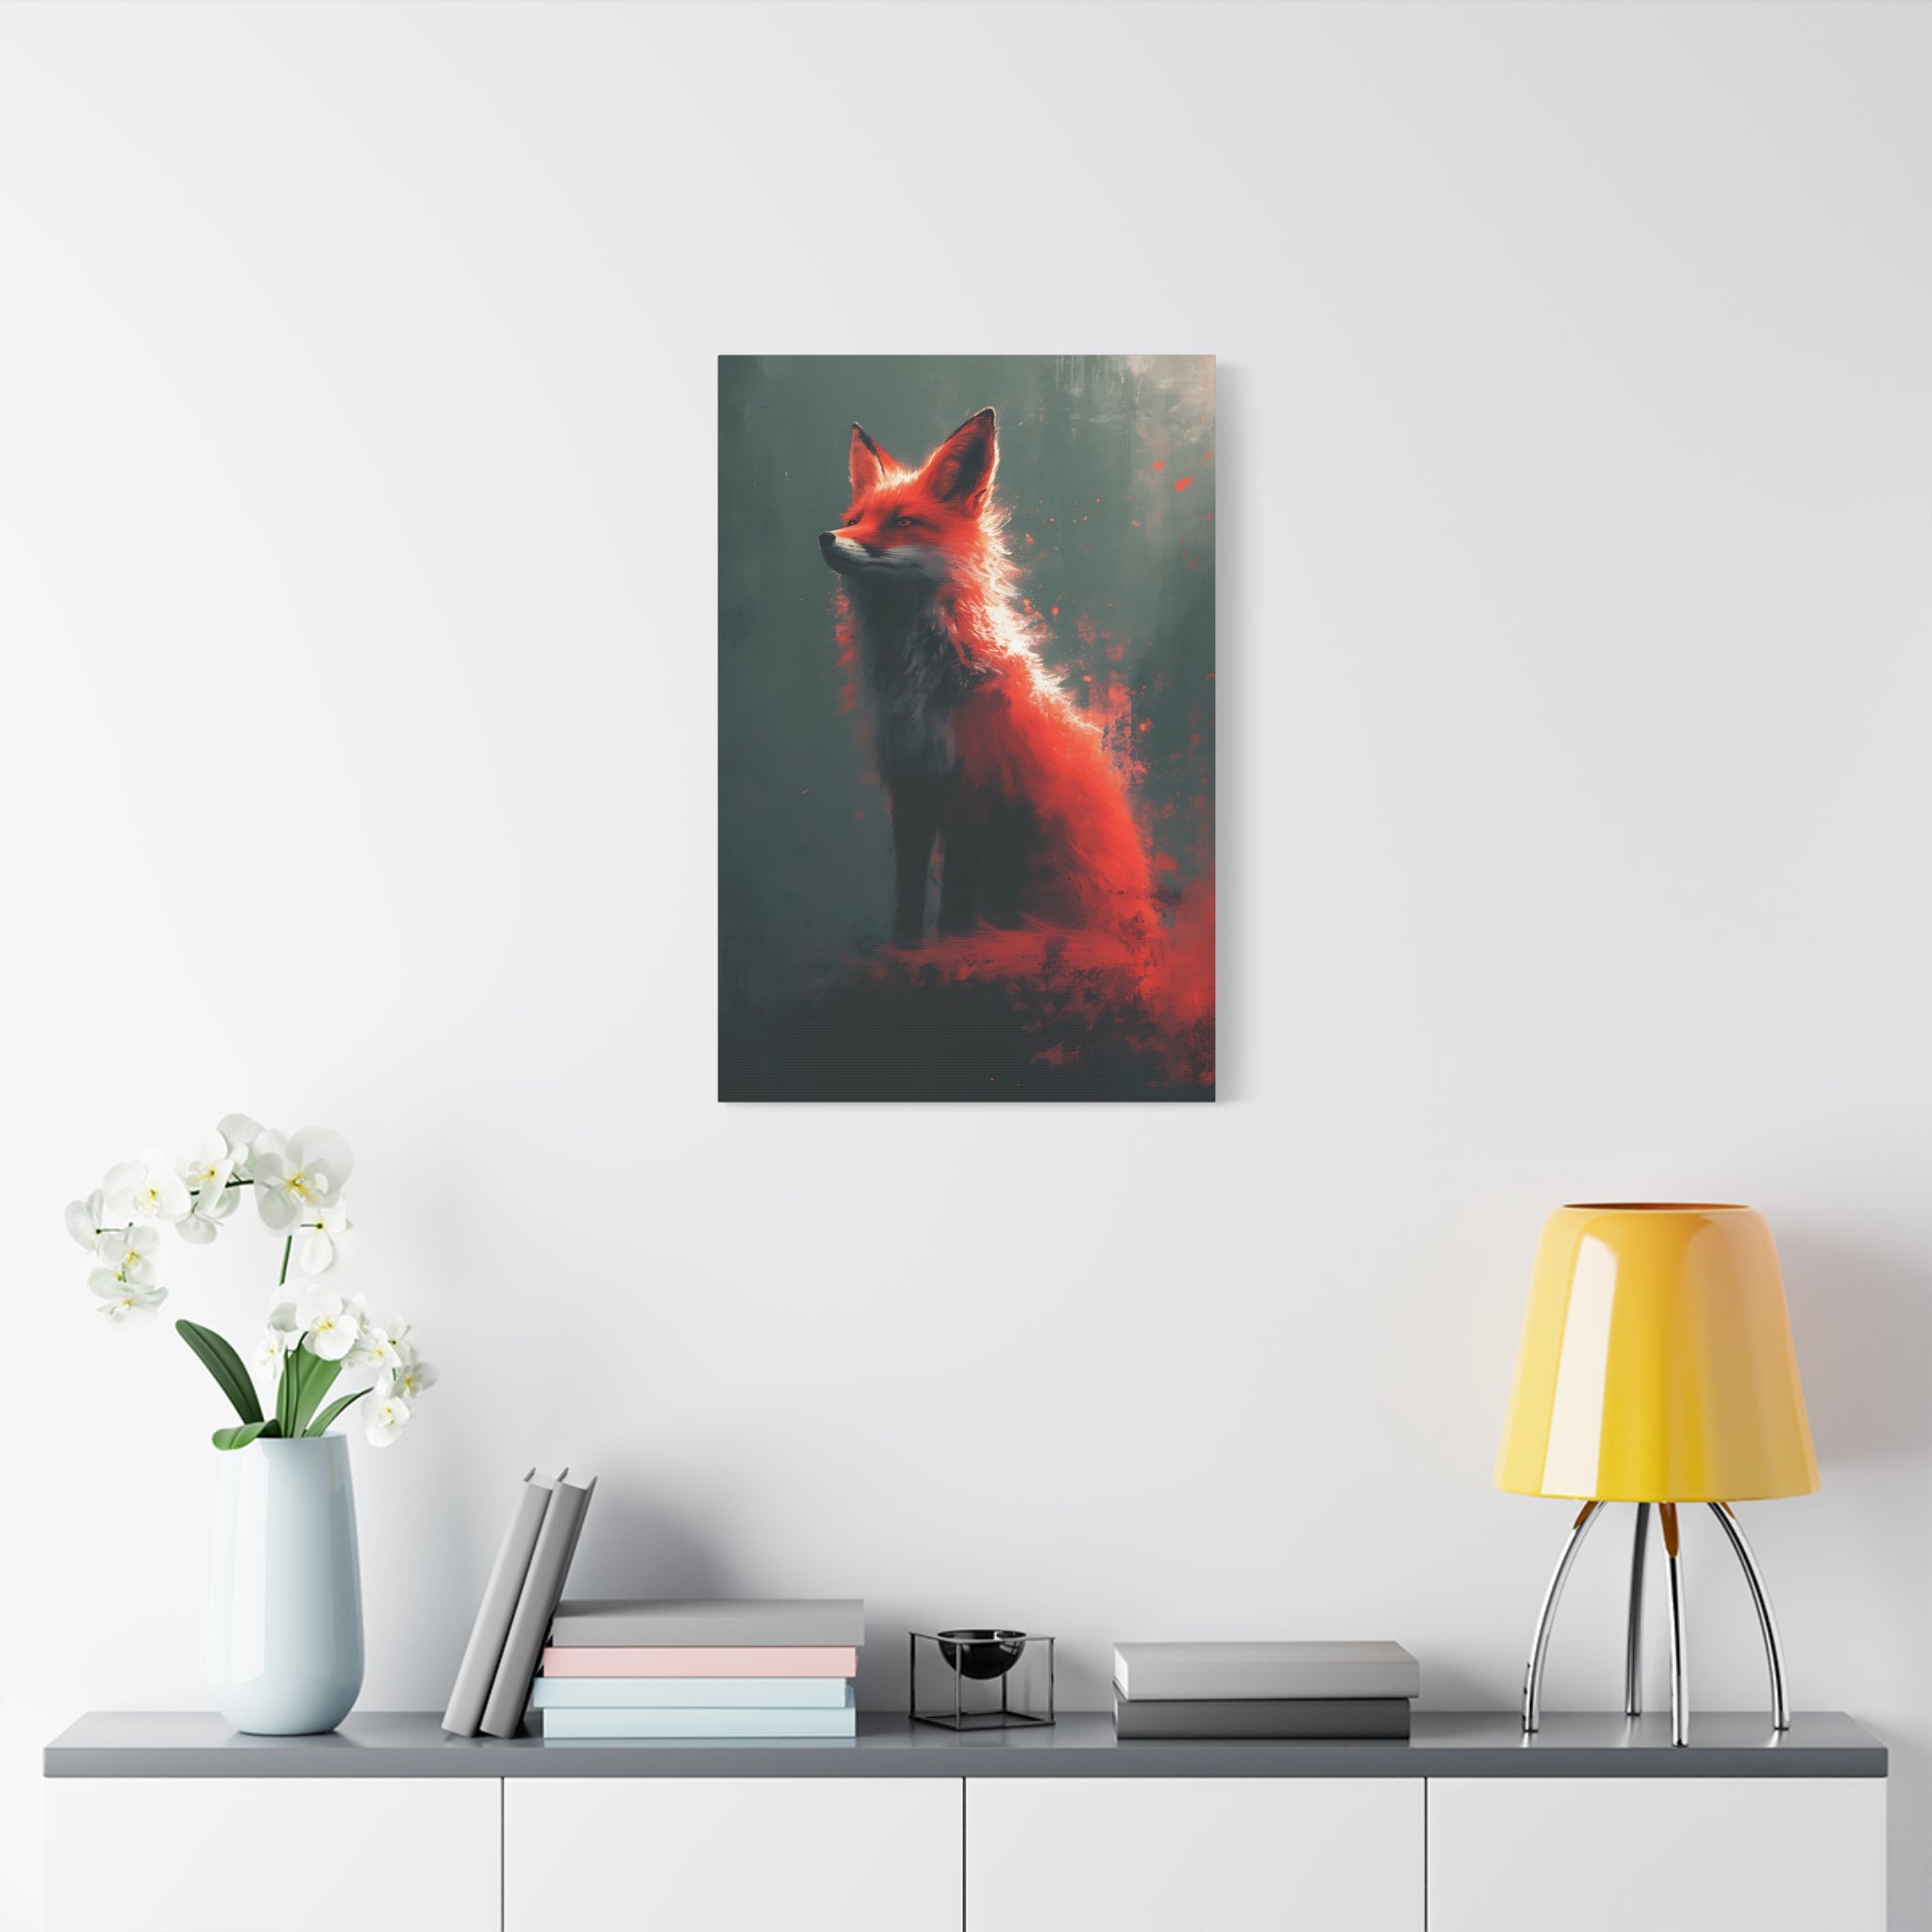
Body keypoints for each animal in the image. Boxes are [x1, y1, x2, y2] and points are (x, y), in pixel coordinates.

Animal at [819, 407, 1156, 949]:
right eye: (854, 521)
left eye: (902, 522)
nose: (827, 538)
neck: (920, 681)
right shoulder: (909, 784)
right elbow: (909, 889)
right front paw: (905, 947)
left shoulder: (975, 786)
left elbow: (956, 893)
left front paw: (952, 945)